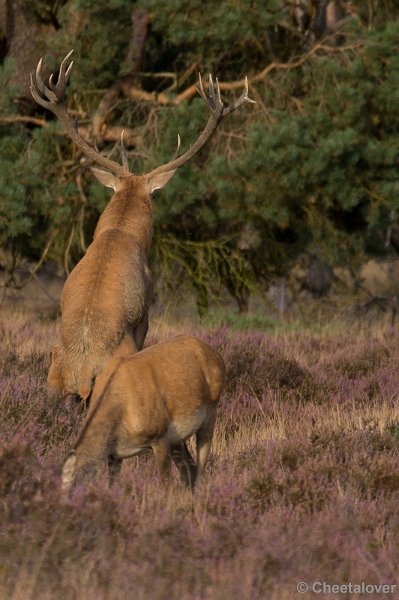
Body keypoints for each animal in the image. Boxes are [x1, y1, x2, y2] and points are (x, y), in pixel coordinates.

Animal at [61, 336, 225, 490]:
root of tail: (217, 356)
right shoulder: (114, 455)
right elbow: (111, 485)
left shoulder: (159, 436)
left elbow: (166, 486)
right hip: (177, 438)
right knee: (189, 469)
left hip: (210, 413)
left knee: (200, 469)